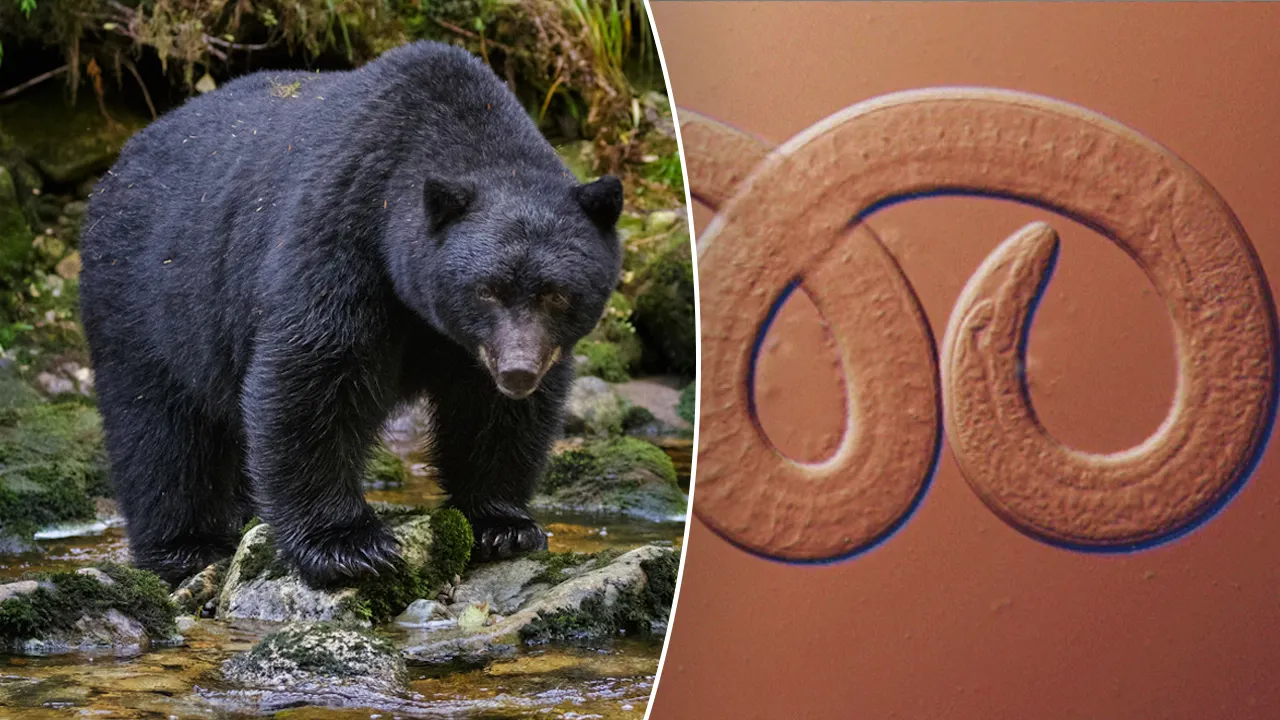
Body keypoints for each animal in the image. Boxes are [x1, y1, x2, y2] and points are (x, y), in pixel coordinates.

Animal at [78, 41, 625, 587]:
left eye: (556, 294)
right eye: (486, 290)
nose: (517, 372)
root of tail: (118, 164)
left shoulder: (480, 345)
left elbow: (492, 412)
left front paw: (503, 524)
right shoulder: (342, 233)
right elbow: (314, 376)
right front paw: (347, 544)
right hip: (146, 297)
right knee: (160, 428)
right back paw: (186, 545)